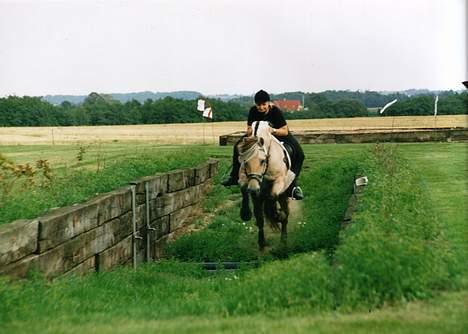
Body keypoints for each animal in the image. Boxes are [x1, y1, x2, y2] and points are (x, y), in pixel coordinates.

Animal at [238, 120, 292, 250]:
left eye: (262, 161)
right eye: (245, 162)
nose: (253, 189)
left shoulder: (279, 181)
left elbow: (272, 197)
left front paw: (277, 215)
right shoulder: (244, 177)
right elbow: (243, 188)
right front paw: (245, 214)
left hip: (284, 194)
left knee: (286, 214)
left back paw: (283, 241)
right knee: (260, 218)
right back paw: (262, 242)